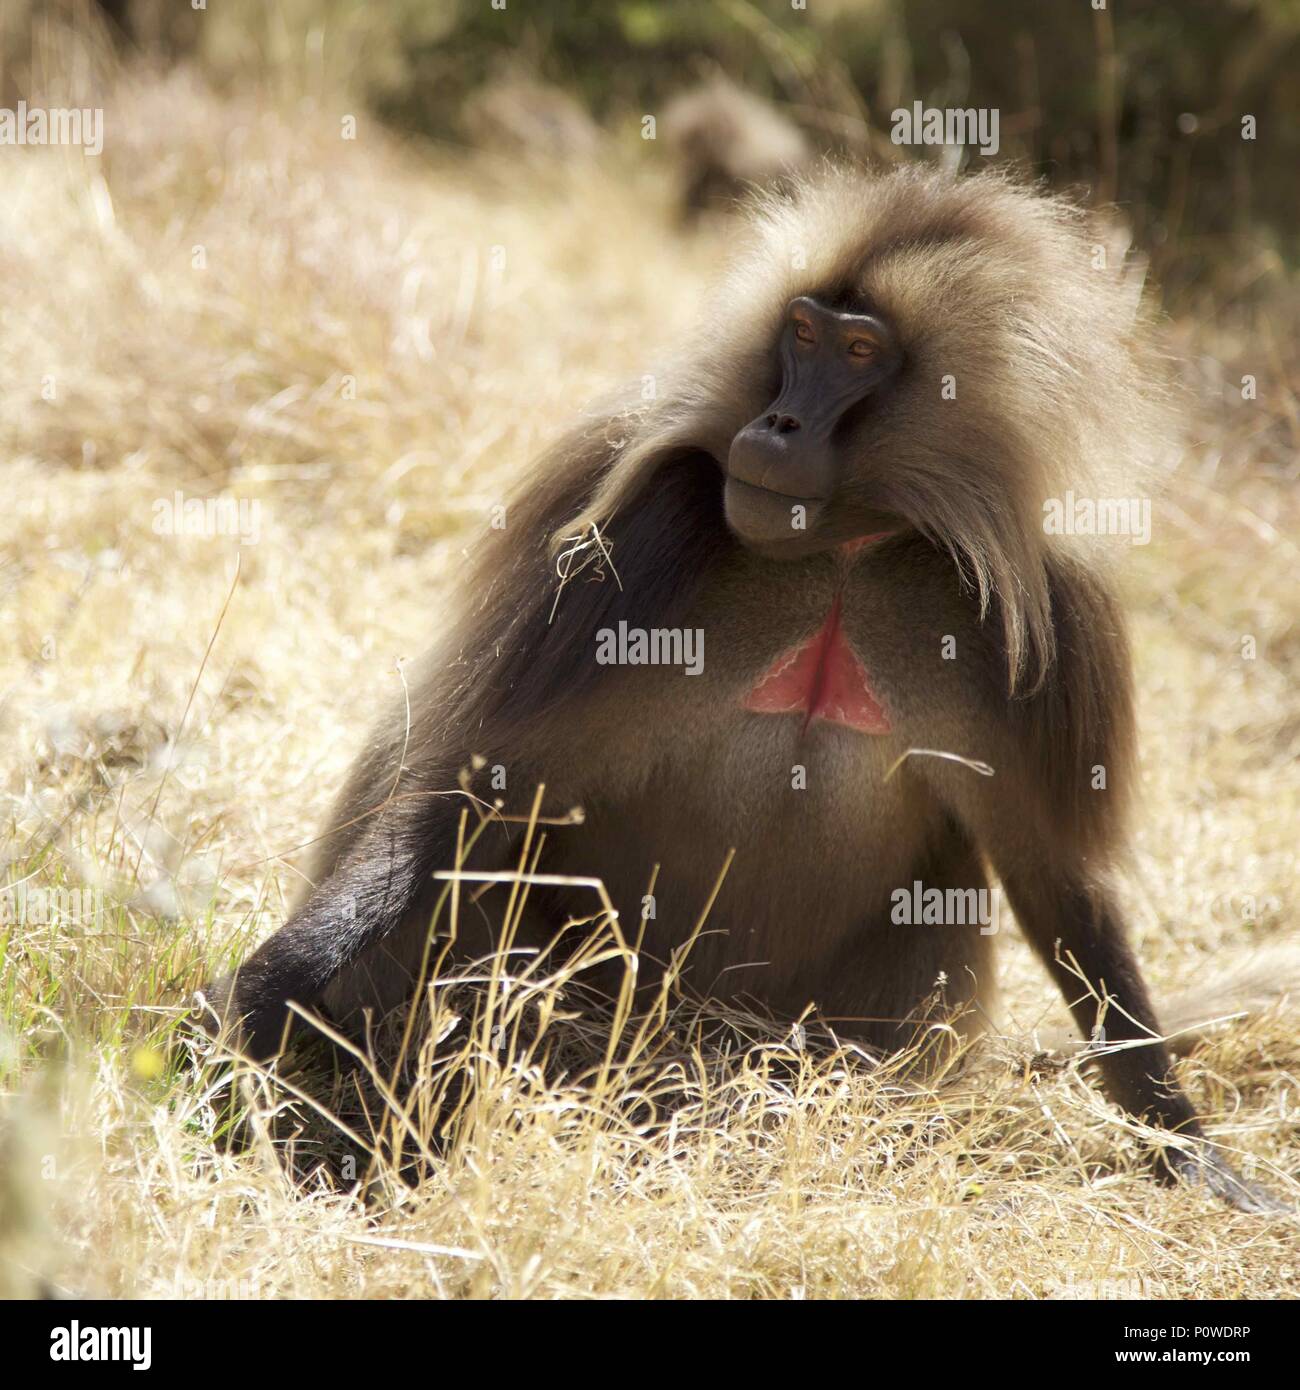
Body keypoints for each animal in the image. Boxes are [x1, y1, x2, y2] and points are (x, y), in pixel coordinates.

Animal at [204, 164, 1288, 1213]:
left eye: (860, 350)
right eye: (801, 333)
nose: (778, 423)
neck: (845, 548)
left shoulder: (1052, 618)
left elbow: (1054, 881)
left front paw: (1185, 1143)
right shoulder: (639, 528)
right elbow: (484, 785)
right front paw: (275, 985)